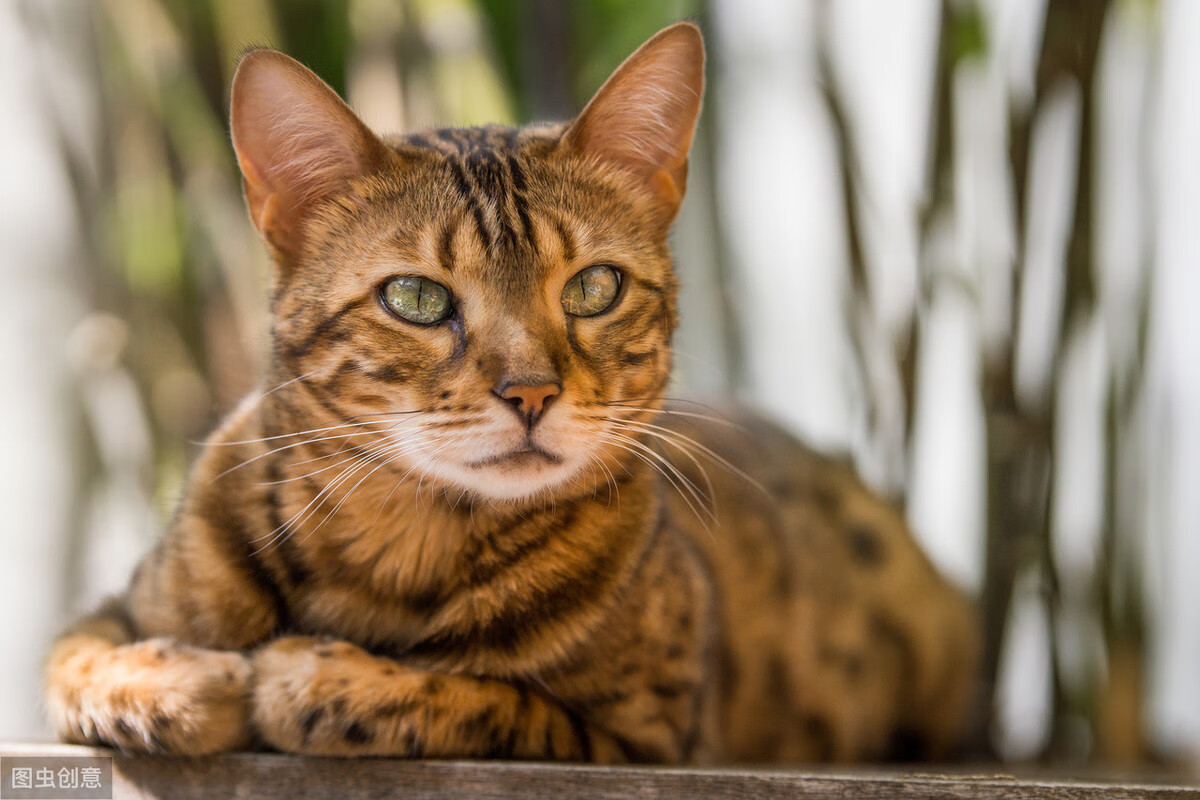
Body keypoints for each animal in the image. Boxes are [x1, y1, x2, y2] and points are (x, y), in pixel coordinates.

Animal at [44, 23, 984, 762]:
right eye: (415, 298)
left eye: (595, 288)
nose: (531, 393)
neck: (397, 549)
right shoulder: (108, 608)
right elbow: (72, 658)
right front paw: (175, 680)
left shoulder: (648, 735)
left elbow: (481, 699)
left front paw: (313, 678)